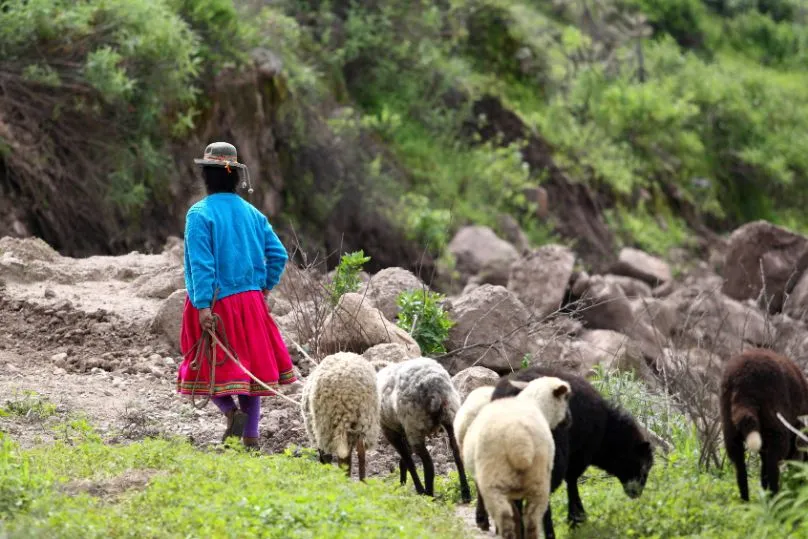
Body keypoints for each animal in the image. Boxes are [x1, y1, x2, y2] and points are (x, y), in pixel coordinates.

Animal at [300, 352, 382, 484]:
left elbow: (326, 457)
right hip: (365, 419)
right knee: (360, 450)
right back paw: (362, 482)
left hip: (328, 424)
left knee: (341, 456)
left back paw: (344, 479)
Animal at [378, 356, 474, 504]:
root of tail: (434, 387)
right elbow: (405, 458)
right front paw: (402, 483)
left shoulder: (390, 430)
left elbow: (408, 460)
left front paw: (408, 485)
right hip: (451, 414)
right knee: (457, 454)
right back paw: (465, 493)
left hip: (414, 424)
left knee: (428, 463)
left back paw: (426, 493)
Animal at [464, 376, 572, 539]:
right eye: (566, 399)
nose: (569, 418)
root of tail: (519, 437)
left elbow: (515, 514)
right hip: (538, 480)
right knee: (532, 519)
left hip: (495, 480)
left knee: (505, 517)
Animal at [480, 368, 656, 539]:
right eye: (643, 465)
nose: (637, 494)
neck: (607, 432)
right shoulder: (579, 455)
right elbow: (572, 483)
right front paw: (576, 519)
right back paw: (547, 533)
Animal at [720, 350, 808, 502]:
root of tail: (742, 382)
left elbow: (763, 471)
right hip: (776, 429)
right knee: (773, 469)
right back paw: (775, 501)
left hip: (729, 429)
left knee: (741, 470)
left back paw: (746, 503)